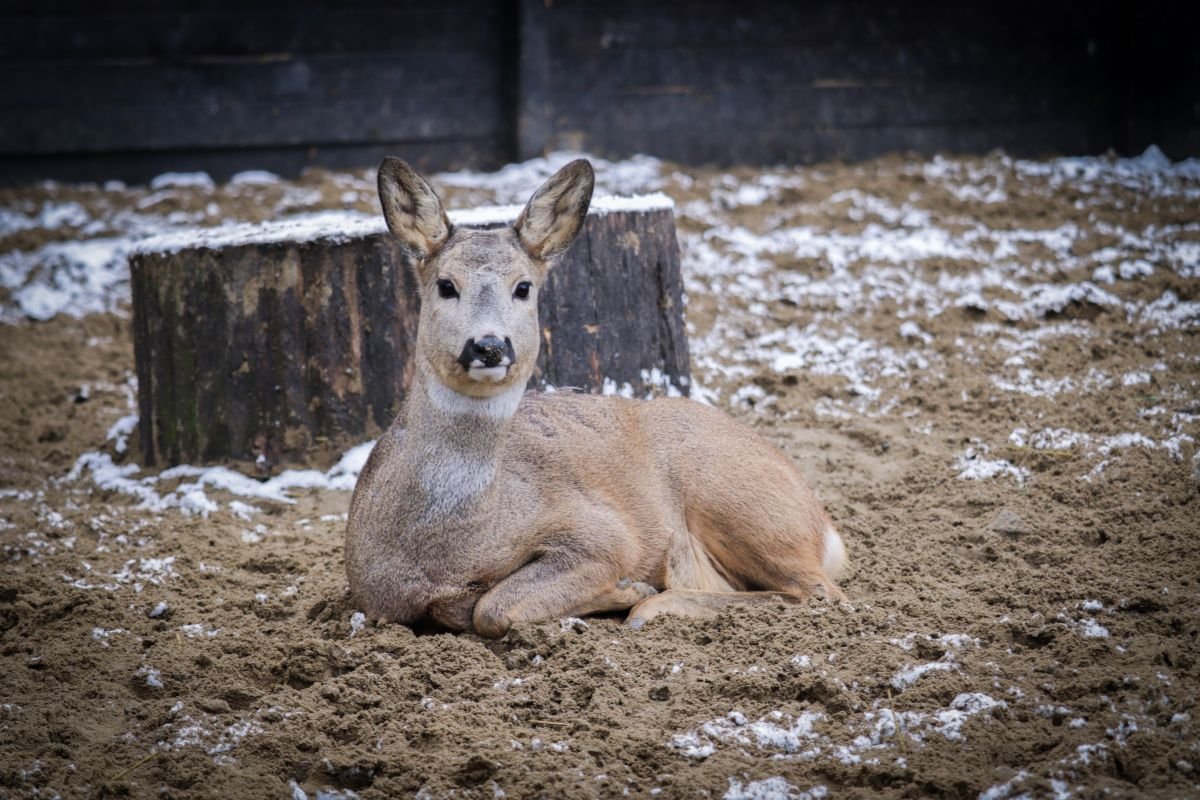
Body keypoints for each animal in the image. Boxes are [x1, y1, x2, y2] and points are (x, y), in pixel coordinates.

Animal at [343, 159, 849, 642]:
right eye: (446, 284)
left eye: (523, 287)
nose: (488, 345)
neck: (448, 551)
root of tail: (825, 525)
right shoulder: (373, 596)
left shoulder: (603, 532)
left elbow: (492, 607)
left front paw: (629, 589)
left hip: (735, 498)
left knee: (820, 592)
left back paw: (650, 608)